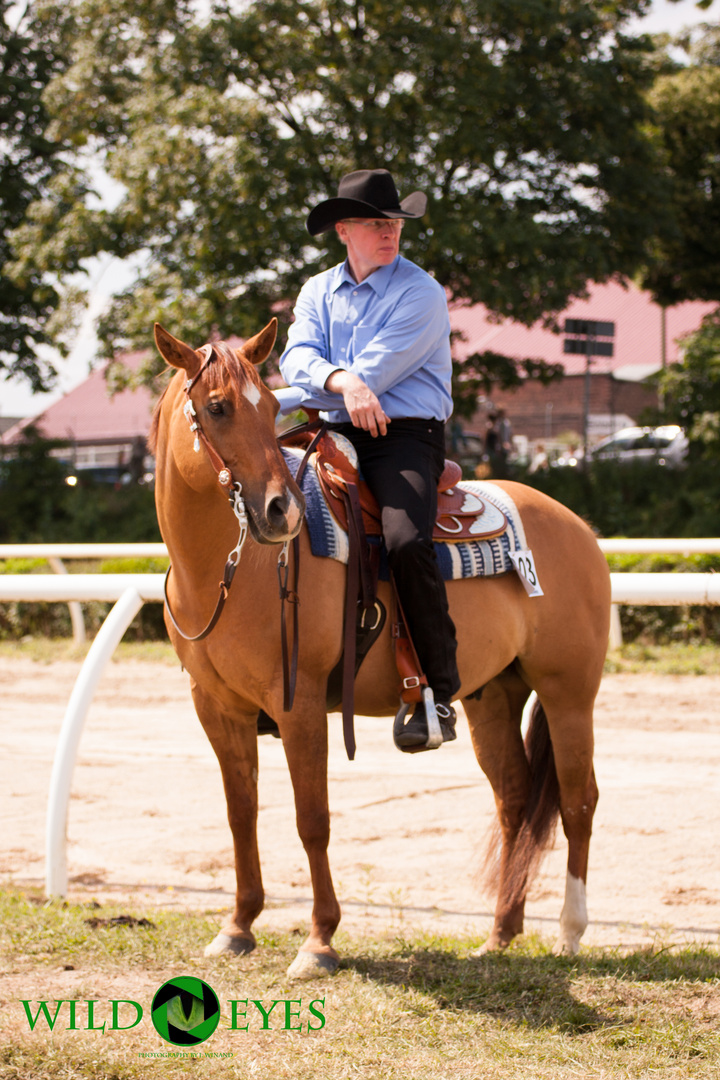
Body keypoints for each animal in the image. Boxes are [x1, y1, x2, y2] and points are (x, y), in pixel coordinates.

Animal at [148, 317, 613, 980]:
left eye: (269, 409)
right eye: (217, 407)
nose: (281, 510)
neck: (229, 571)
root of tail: (578, 527)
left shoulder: (299, 705)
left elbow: (312, 819)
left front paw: (319, 940)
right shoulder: (216, 708)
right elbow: (242, 814)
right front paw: (237, 927)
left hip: (568, 694)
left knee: (578, 801)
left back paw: (571, 931)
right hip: (494, 694)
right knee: (516, 801)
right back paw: (500, 933)